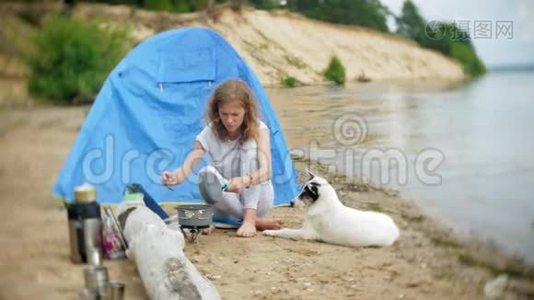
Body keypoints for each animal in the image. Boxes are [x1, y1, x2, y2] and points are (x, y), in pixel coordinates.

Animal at [266, 172, 400, 247]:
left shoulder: (306, 233)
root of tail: (395, 229)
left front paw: (269, 231)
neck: (322, 204)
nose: (291, 203)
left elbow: (285, 231)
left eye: (305, 193)